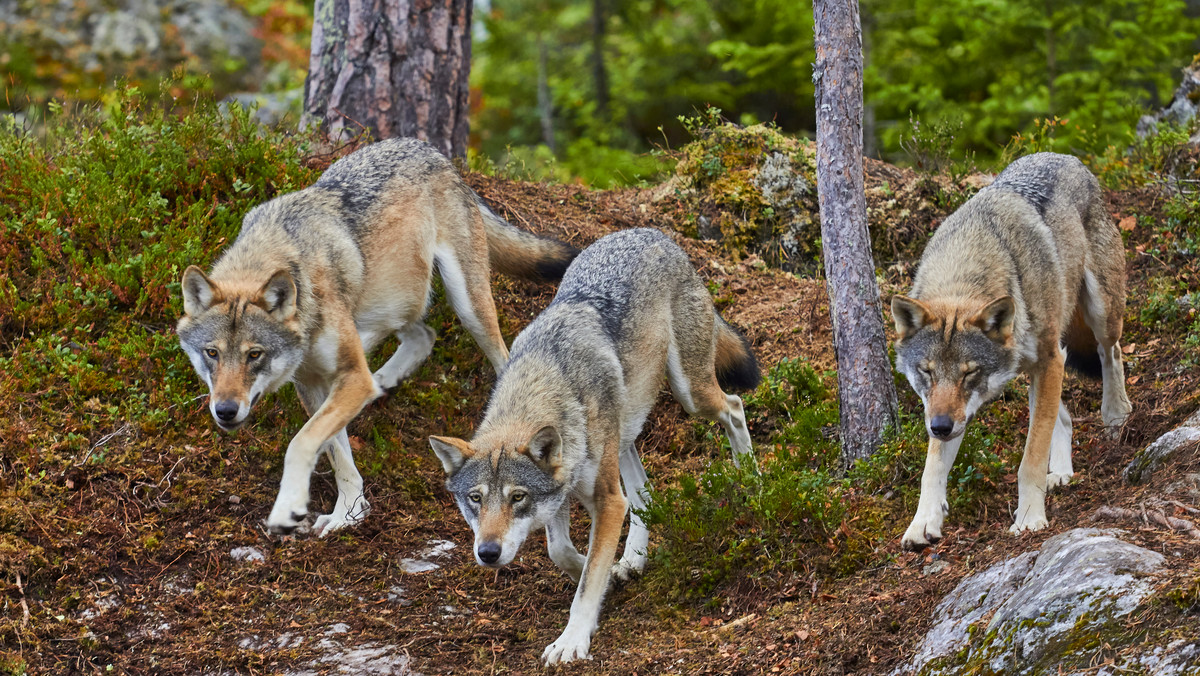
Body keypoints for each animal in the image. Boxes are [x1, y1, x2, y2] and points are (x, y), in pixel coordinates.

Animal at [175, 137, 580, 540]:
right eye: (212, 353)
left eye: (254, 354)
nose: (225, 410)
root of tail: (430, 150)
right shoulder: (314, 384)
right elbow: (338, 454)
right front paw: (348, 513)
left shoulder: (349, 379)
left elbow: (301, 442)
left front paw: (289, 508)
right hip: (392, 303)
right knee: (423, 335)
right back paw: (382, 380)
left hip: (467, 306)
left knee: (498, 357)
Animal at [427, 229, 753, 667]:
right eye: (475, 499)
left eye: (517, 497)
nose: (488, 553)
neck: (545, 380)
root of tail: (652, 234)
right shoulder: (563, 496)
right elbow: (561, 551)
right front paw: (607, 573)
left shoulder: (607, 501)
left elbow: (586, 580)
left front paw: (572, 639)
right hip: (626, 431)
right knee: (644, 494)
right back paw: (632, 559)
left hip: (691, 395)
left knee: (734, 408)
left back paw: (750, 478)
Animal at [892, 151, 1132, 549]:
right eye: (926, 372)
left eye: (969, 373)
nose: (939, 427)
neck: (967, 270)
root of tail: (1067, 156)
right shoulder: (951, 410)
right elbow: (932, 468)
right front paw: (923, 523)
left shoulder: (1050, 359)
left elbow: (1030, 457)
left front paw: (1030, 518)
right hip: (1035, 368)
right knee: (1063, 417)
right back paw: (1062, 473)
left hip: (1098, 315)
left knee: (1110, 354)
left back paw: (1116, 416)